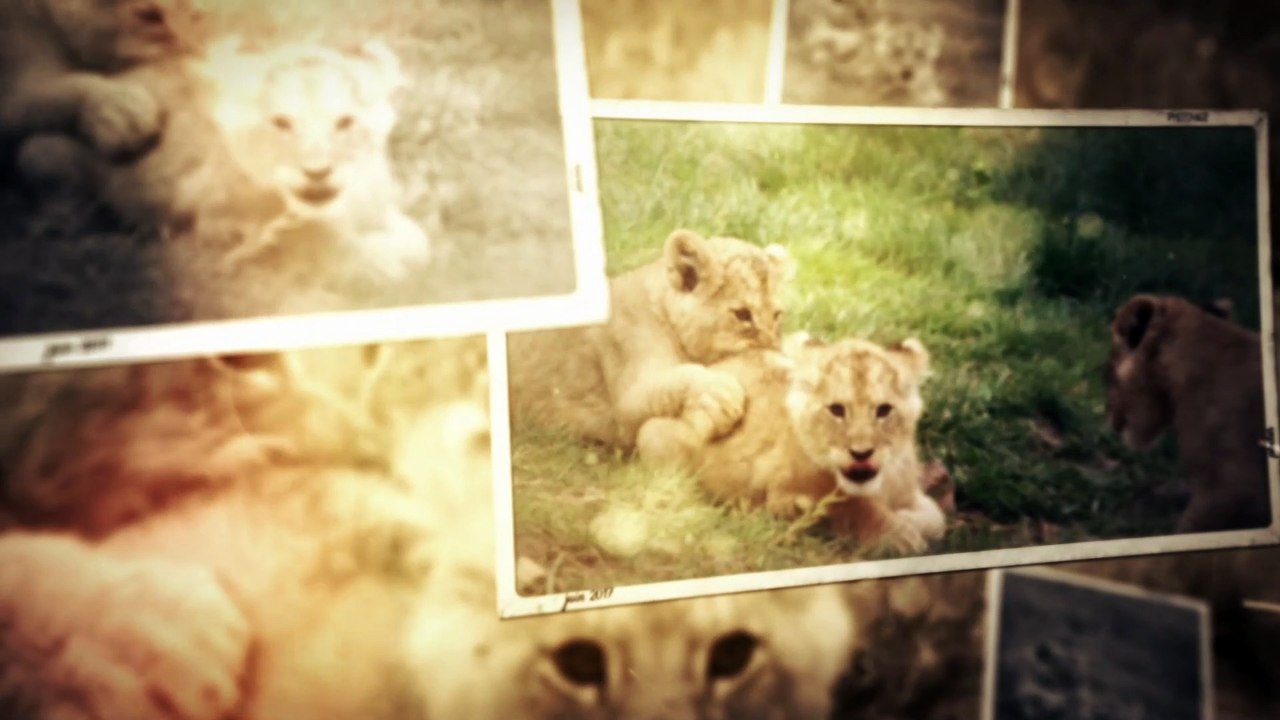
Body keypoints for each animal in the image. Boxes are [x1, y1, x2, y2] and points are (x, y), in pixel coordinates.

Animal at [507, 227, 794, 452]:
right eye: (743, 314)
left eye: (776, 314)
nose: (775, 350)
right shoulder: (625, 405)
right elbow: (675, 378)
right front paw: (719, 394)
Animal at [639, 331, 946, 554]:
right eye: (836, 410)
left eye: (883, 410)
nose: (861, 453)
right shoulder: (782, 492)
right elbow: (847, 505)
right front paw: (899, 536)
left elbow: (937, 520)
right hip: (654, 433)